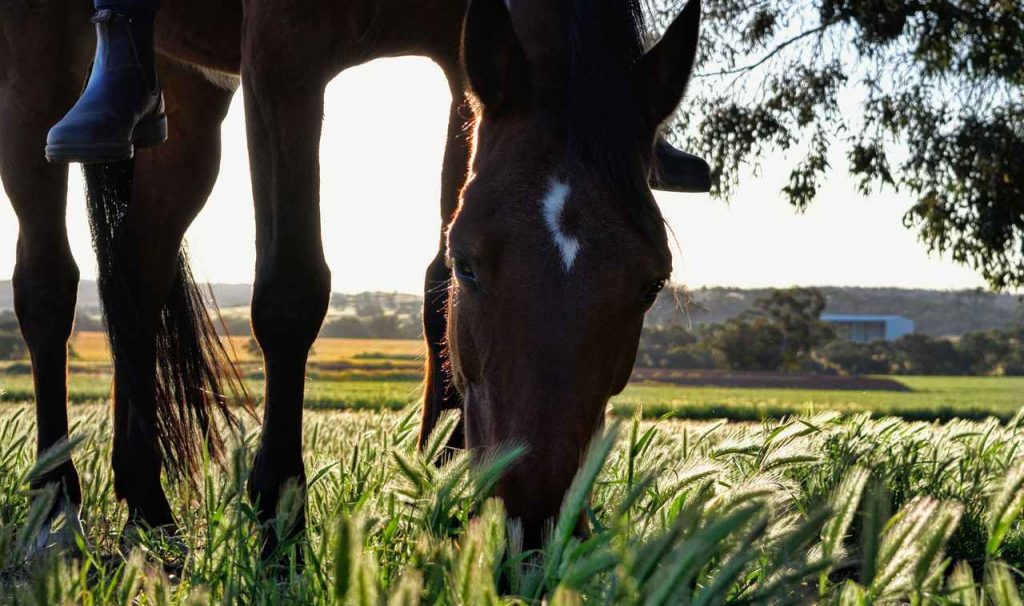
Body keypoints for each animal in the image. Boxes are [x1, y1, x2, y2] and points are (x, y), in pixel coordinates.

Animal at [0, 0, 704, 556]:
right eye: (471, 263)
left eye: (651, 284)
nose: (533, 529)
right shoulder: (282, 50)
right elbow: (290, 290)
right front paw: (278, 521)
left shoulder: (461, 65)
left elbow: (432, 288)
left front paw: (444, 482)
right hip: (38, 50)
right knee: (47, 286)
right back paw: (55, 506)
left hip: (189, 91)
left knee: (135, 272)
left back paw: (146, 508)